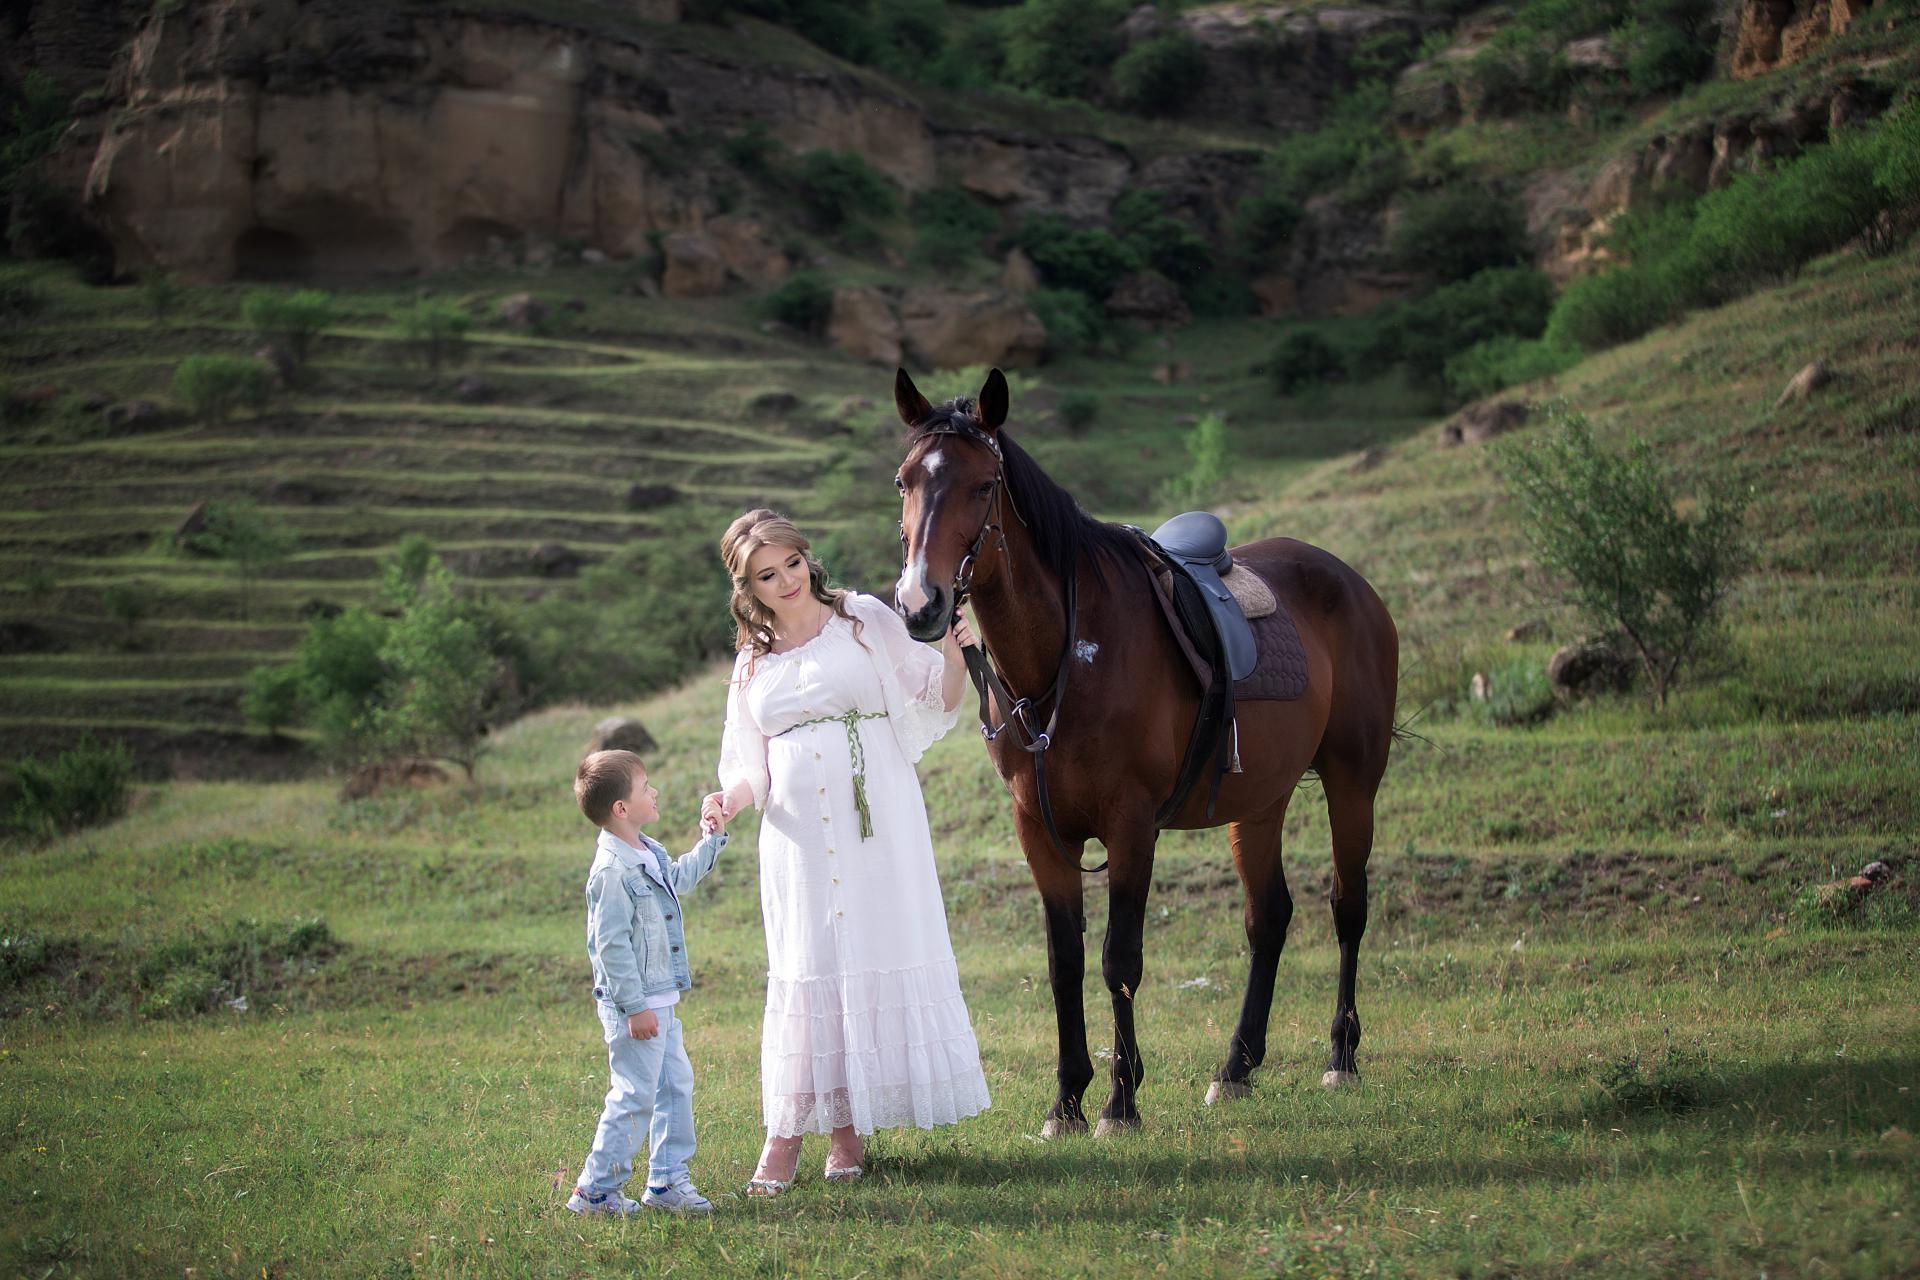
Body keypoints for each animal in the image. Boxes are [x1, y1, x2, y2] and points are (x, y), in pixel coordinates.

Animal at [883, 364, 1397, 1136]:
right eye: (904, 481)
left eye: (982, 485)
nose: (922, 604)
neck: (1068, 657)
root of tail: (1355, 586)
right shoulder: (1039, 829)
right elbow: (1065, 962)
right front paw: (1067, 1098)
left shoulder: (1131, 827)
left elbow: (1119, 959)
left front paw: (1120, 1100)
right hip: (1261, 800)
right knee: (1268, 918)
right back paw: (1236, 1066)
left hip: (1352, 780)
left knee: (1348, 906)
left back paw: (1341, 1055)